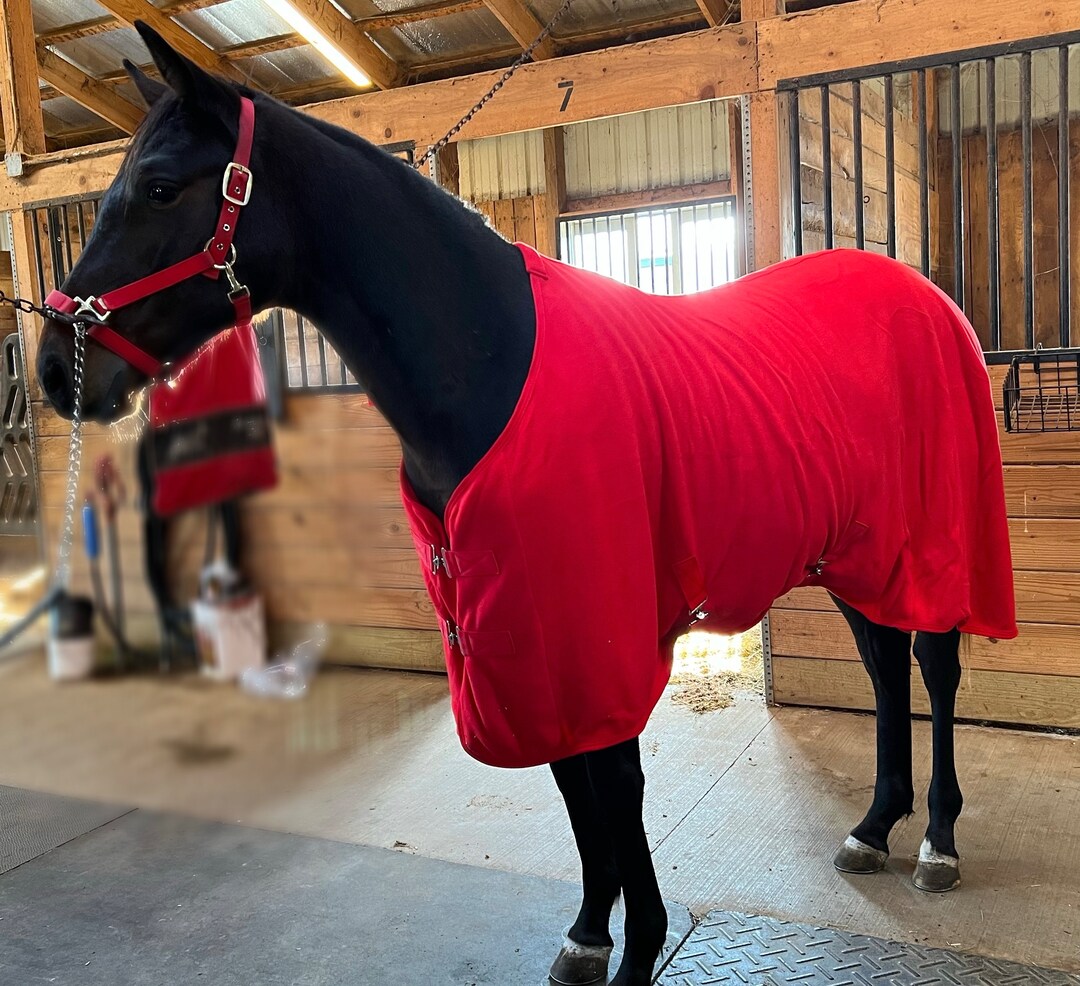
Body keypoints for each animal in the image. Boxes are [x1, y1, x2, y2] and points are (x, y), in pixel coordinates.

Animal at [35, 24, 1017, 986]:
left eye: (159, 188)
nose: (55, 371)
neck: (490, 368)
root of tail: (923, 296)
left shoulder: (596, 639)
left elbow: (615, 792)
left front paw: (639, 949)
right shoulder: (523, 645)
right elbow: (577, 795)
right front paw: (587, 935)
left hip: (929, 546)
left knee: (933, 668)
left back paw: (936, 841)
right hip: (853, 555)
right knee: (885, 669)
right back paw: (873, 829)